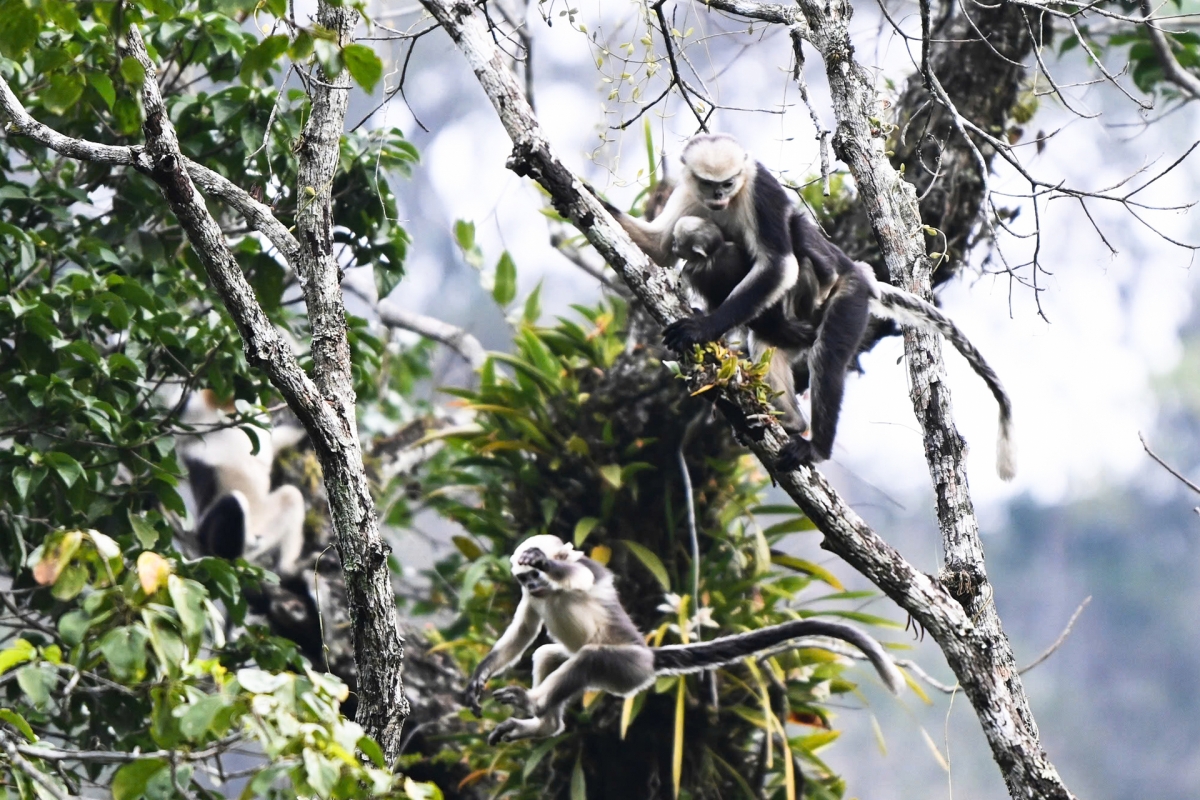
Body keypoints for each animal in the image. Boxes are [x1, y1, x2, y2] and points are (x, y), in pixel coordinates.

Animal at [464, 535, 904, 744]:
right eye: (524, 579)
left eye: (536, 572)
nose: (533, 581)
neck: (549, 592)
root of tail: (649, 655)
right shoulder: (530, 598)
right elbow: (522, 634)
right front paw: (480, 675)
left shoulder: (584, 570)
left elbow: (580, 575)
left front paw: (549, 561)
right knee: (548, 656)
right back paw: (544, 723)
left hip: (628, 669)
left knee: (590, 659)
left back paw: (533, 705)